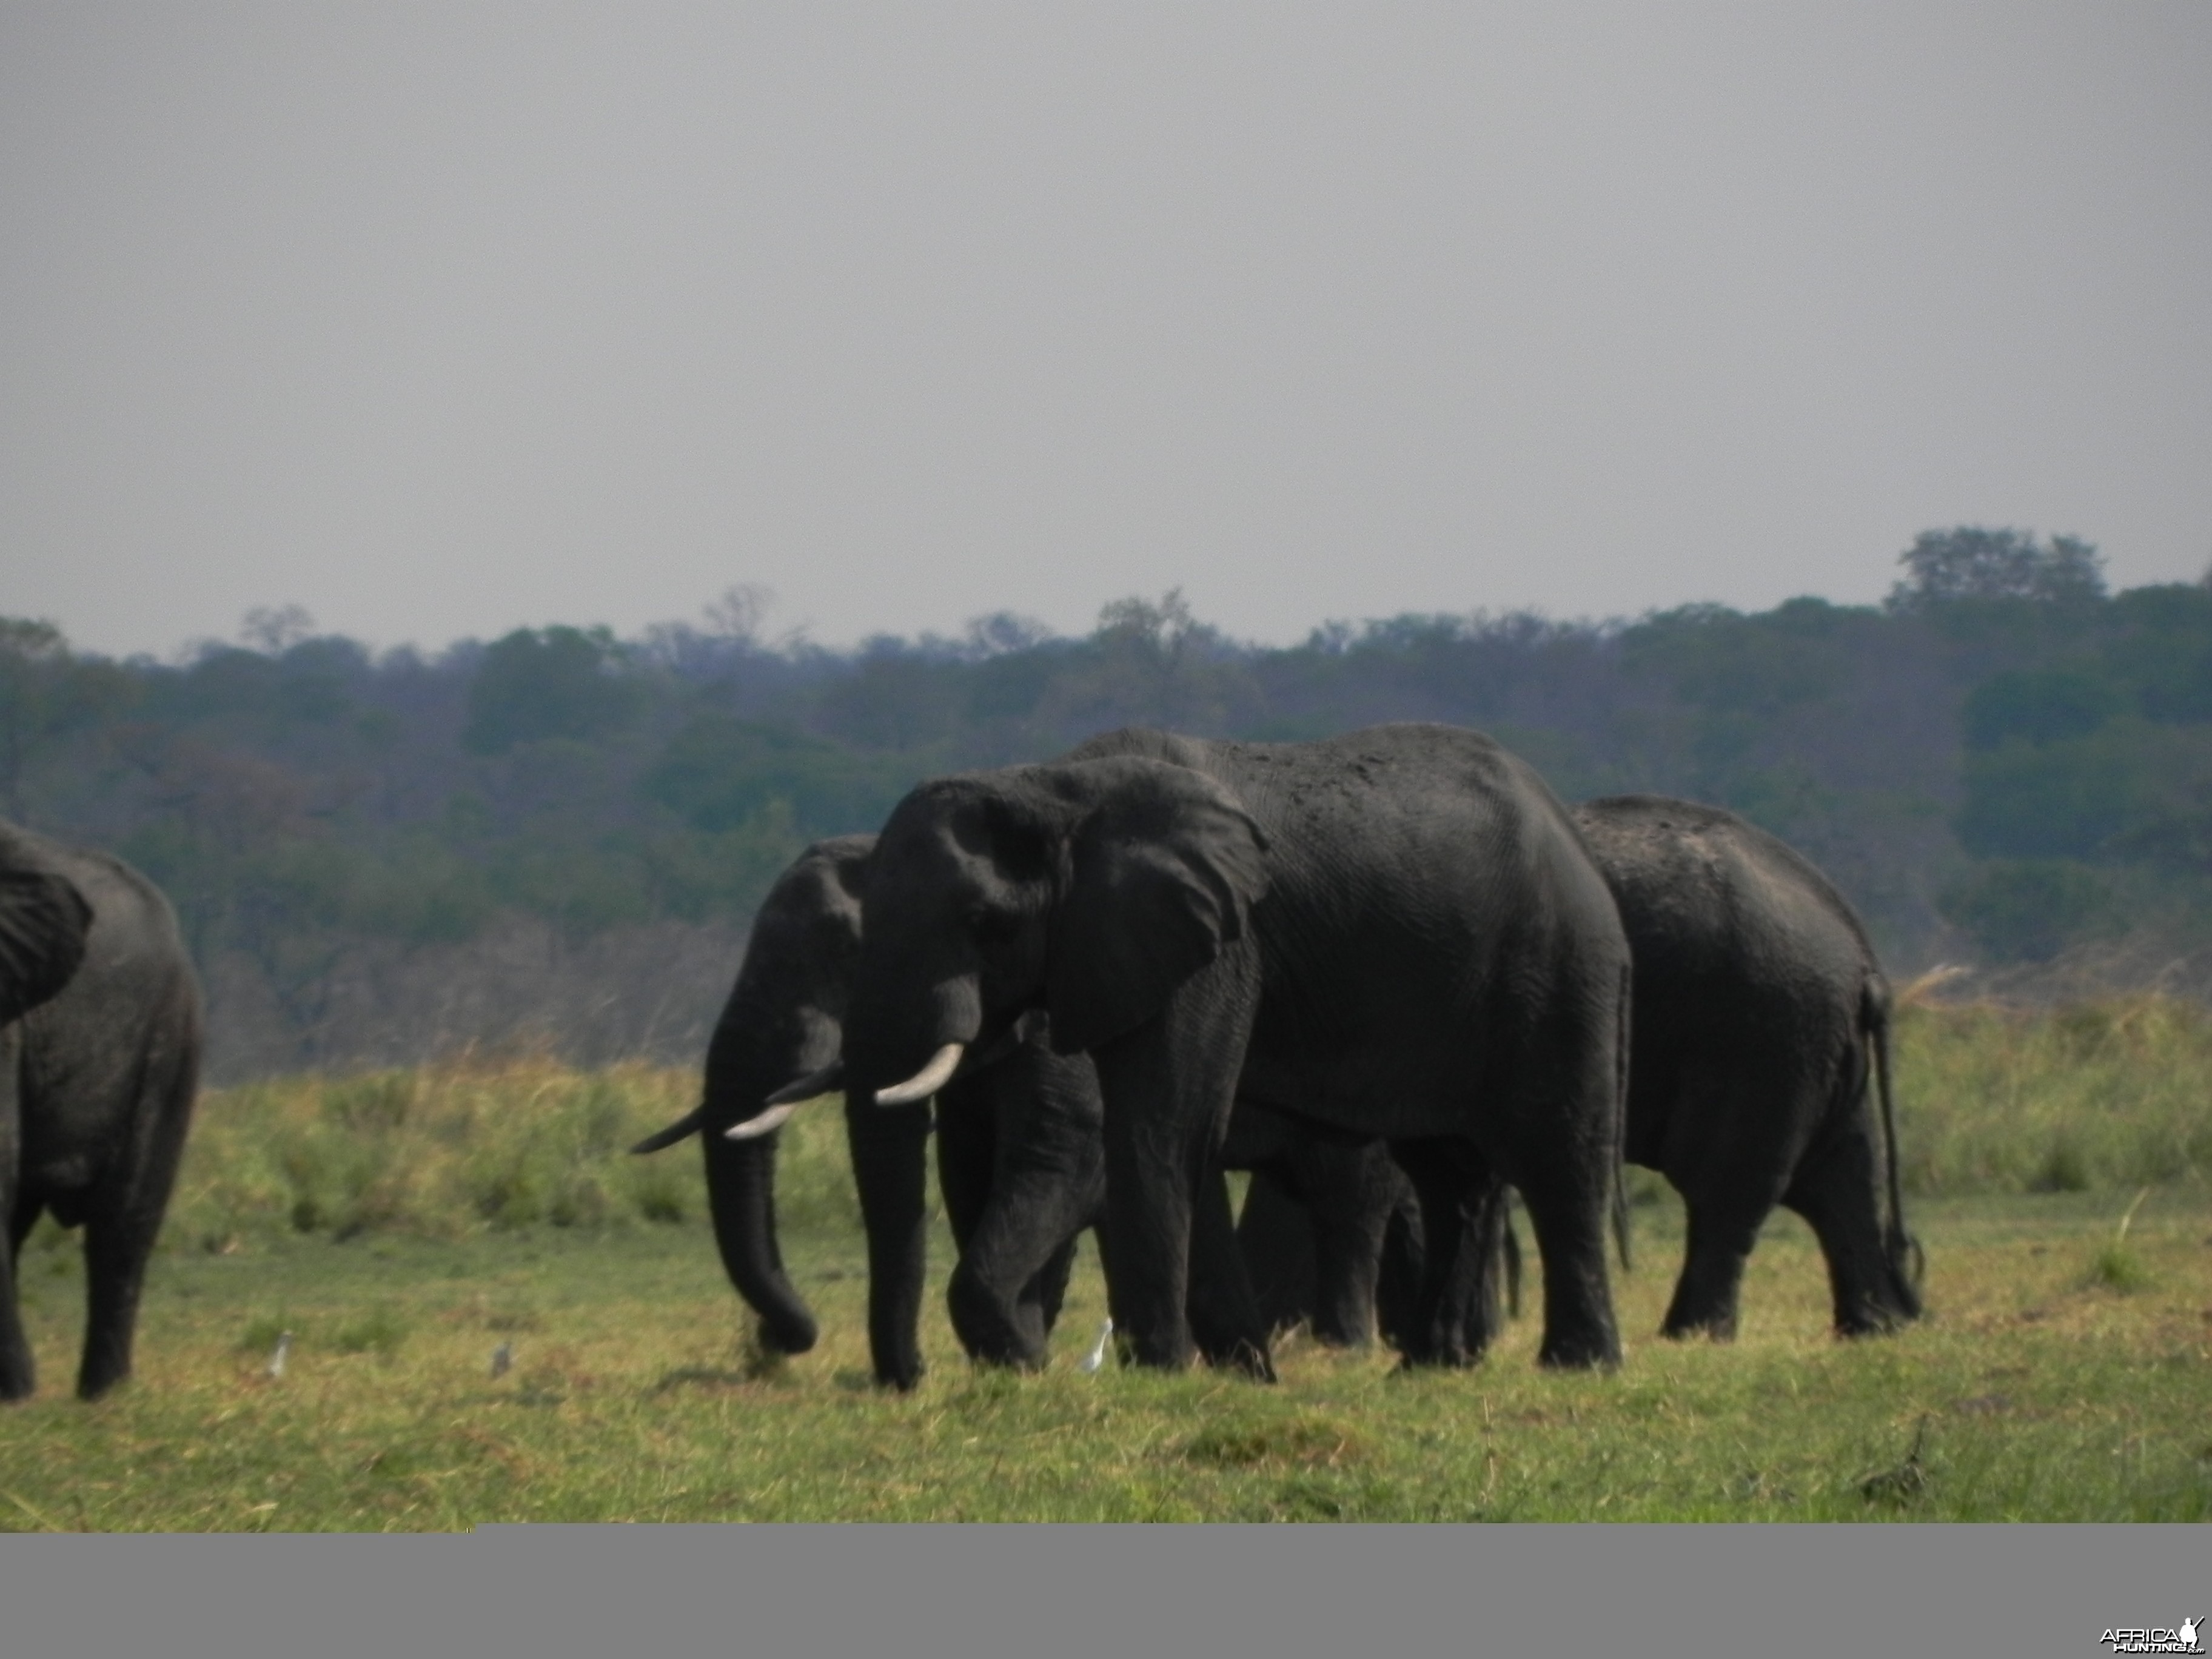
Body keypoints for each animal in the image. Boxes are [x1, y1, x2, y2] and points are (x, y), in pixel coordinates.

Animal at [831, 725, 1627, 1380]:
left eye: (981, 921)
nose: (914, 1380)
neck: (1052, 786)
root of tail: (1572, 831)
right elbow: (1177, 1136)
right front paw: (1244, 1375)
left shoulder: (1220, 946)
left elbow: (1162, 1126)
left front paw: (1159, 1371)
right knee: (1450, 1178)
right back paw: (1428, 1369)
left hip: (1558, 970)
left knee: (1559, 1158)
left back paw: (1576, 1366)